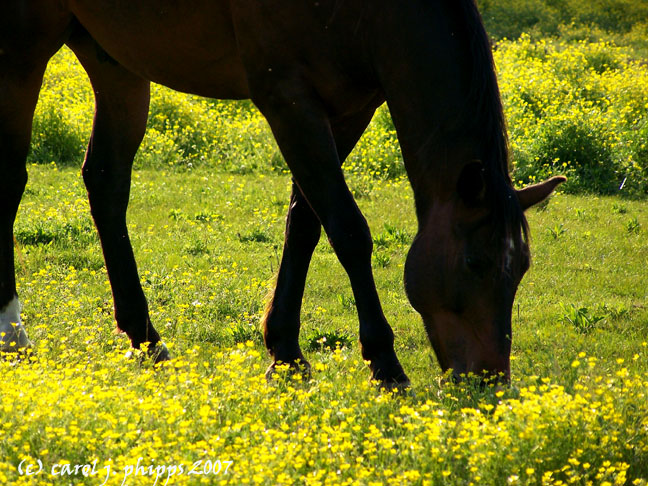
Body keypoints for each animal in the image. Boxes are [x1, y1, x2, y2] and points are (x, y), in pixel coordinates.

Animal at [1, 0, 560, 388]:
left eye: (521, 270)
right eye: (473, 264)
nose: (489, 382)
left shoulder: (347, 109)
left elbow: (306, 223)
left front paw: (286, 352)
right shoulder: (287, 99)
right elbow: (348, 229)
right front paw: (385, 364)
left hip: (113, 58)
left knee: (107, 183)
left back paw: (145, 338)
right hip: (23, 50)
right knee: (12, 180)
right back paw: (13, 332)